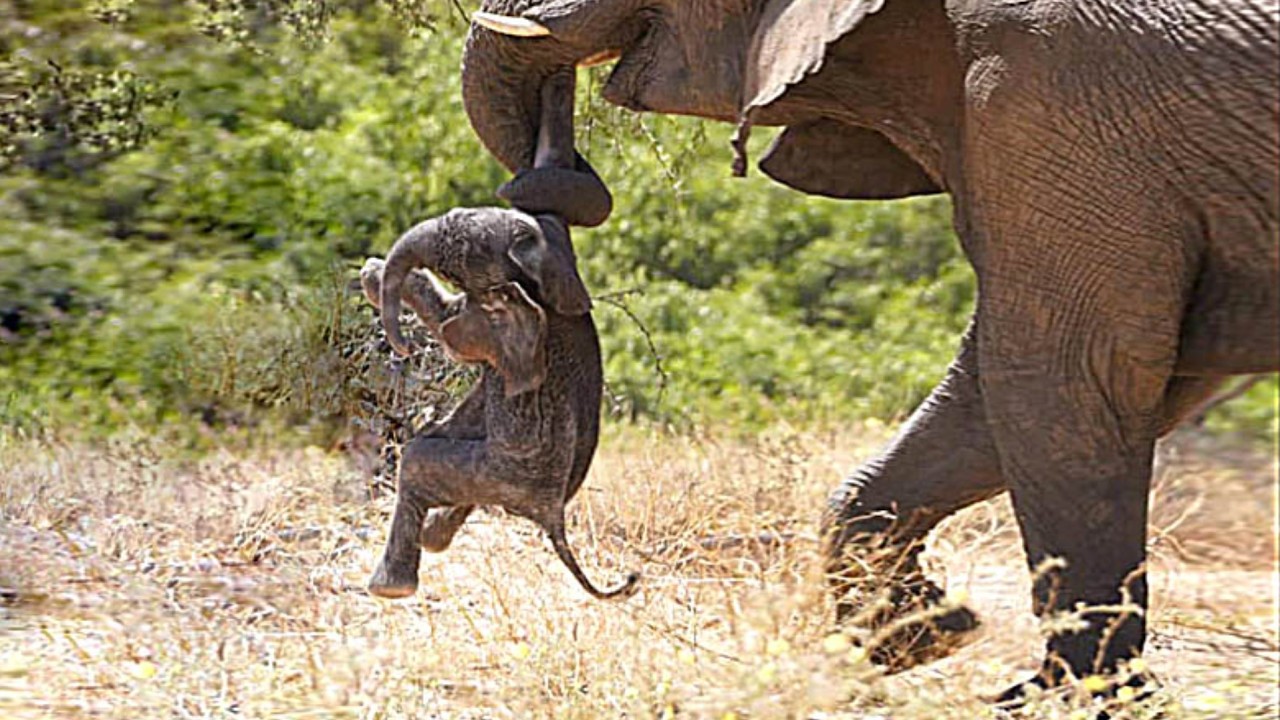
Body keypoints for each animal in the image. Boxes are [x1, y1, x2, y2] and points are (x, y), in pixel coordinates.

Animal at [456, 0, 1280, 699]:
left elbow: (1062, 373)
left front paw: (1068, 696)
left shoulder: (1055, 103)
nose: (565, 174)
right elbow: (1007, 396)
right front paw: (927, 637)